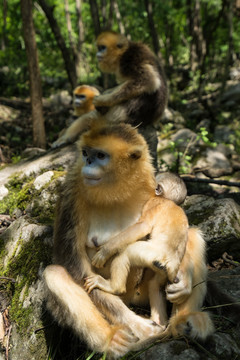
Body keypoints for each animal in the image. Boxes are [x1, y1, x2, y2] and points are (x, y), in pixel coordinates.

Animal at [85, 173, 188, 324]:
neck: (167, 200)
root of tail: (170, 263)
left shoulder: (152, 202)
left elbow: (143, 226)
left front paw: (105, 251)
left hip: (149, 253)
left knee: (124, 255)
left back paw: (114, 287)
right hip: (163, 270)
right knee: (155, 285)